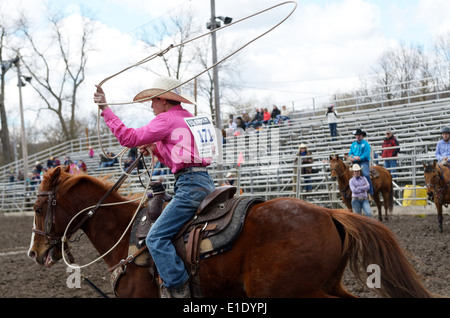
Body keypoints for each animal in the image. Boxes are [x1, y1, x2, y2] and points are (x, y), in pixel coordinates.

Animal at [29, 168, 436, 296]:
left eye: (36, 207)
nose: (35, 253)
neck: (129, 234)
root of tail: (328, 213)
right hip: (325, 285)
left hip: (292, 293)